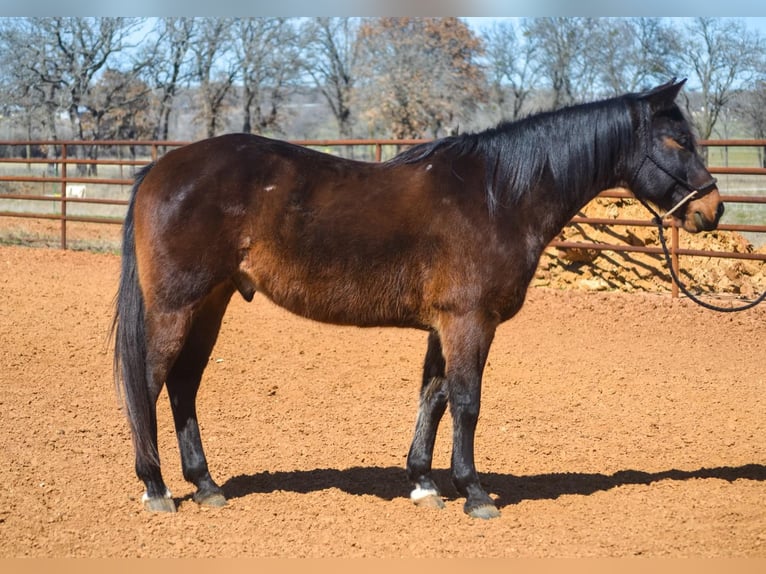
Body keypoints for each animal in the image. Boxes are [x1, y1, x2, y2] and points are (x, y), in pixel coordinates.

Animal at [112, 79, 728, 520]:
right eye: (676, 141)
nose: (713, 208)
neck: (499, 195)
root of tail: (158, 168)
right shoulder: (469, 322)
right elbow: (467, 403)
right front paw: (475, 493)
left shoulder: (443, 327)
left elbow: (432, 399)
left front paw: (424, 484)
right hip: (177, 305)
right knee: (148, 383)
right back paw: (156, 488)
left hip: (211, 302)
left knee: (183, 384)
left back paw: (205, 485)